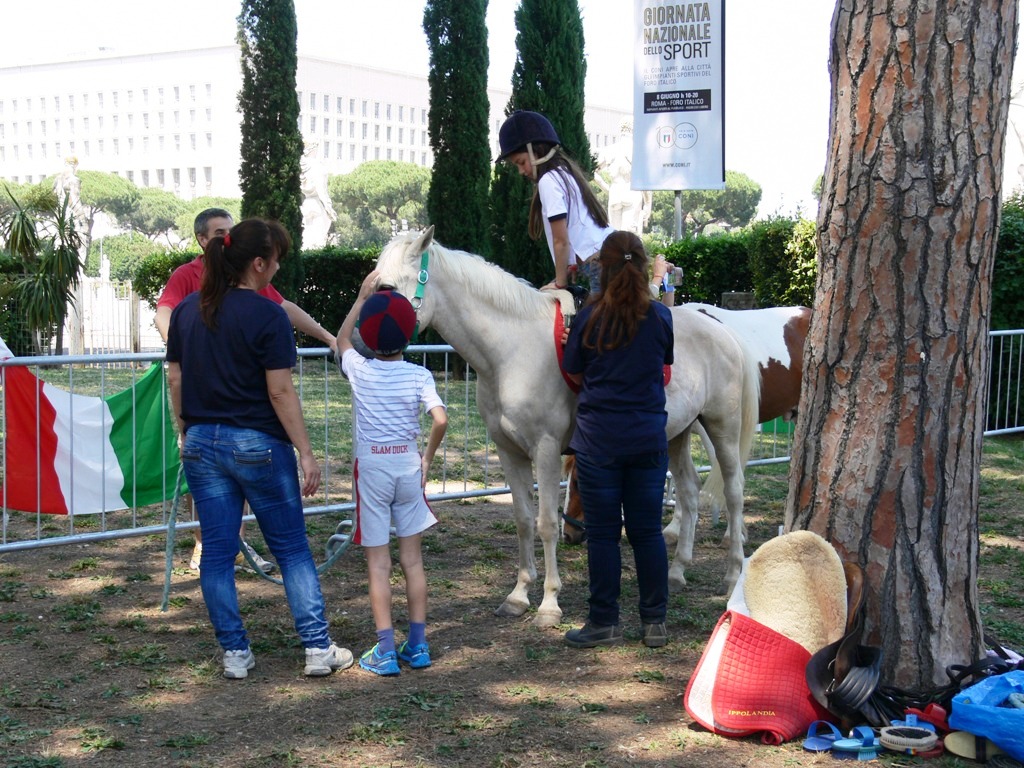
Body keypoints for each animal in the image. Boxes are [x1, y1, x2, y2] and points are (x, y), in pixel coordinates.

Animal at [376, 225, 761, 618]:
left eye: (386, 288)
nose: (365, 339)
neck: (510, 351)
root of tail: (720, 328)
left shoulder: (545, 450)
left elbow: (546, 523)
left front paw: (549, 603)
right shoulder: (508, 451)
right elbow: (523, 521)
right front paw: (518, 595)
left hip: (722, 427)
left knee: (734, 491)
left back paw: (733, 574)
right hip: (677, 434)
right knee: (689, 491)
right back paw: (677, 572)